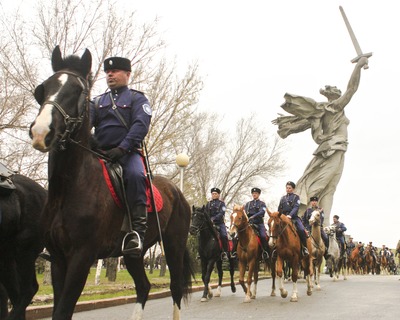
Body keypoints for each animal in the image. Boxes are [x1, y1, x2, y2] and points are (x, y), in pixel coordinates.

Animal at [28, 47, 194, 320]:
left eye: (78, 90)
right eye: (43, 88)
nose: (41, 132)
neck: (68, 188)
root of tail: (176, 191)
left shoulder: (81, 257)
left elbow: (63, 310)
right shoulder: (59, 259)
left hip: (174, 245)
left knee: (176, 288)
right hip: (134, 254)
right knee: (144, 286)